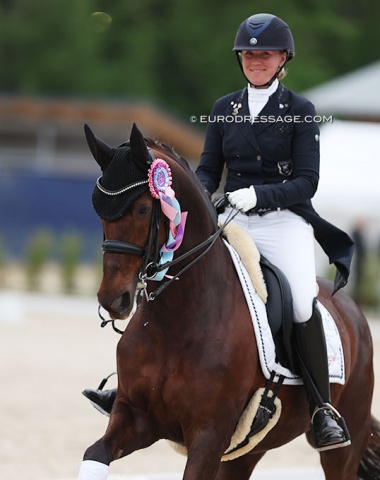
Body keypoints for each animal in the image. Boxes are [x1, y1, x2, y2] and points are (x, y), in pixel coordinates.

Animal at [78, 124, 380, 480]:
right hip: (247, 451)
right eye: (98, 211)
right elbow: (94, 454)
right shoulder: (136, 417)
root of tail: (352, 309)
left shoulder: (209, 435)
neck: (175, 320)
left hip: (343, 445)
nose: (114, 299)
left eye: (142, 209)